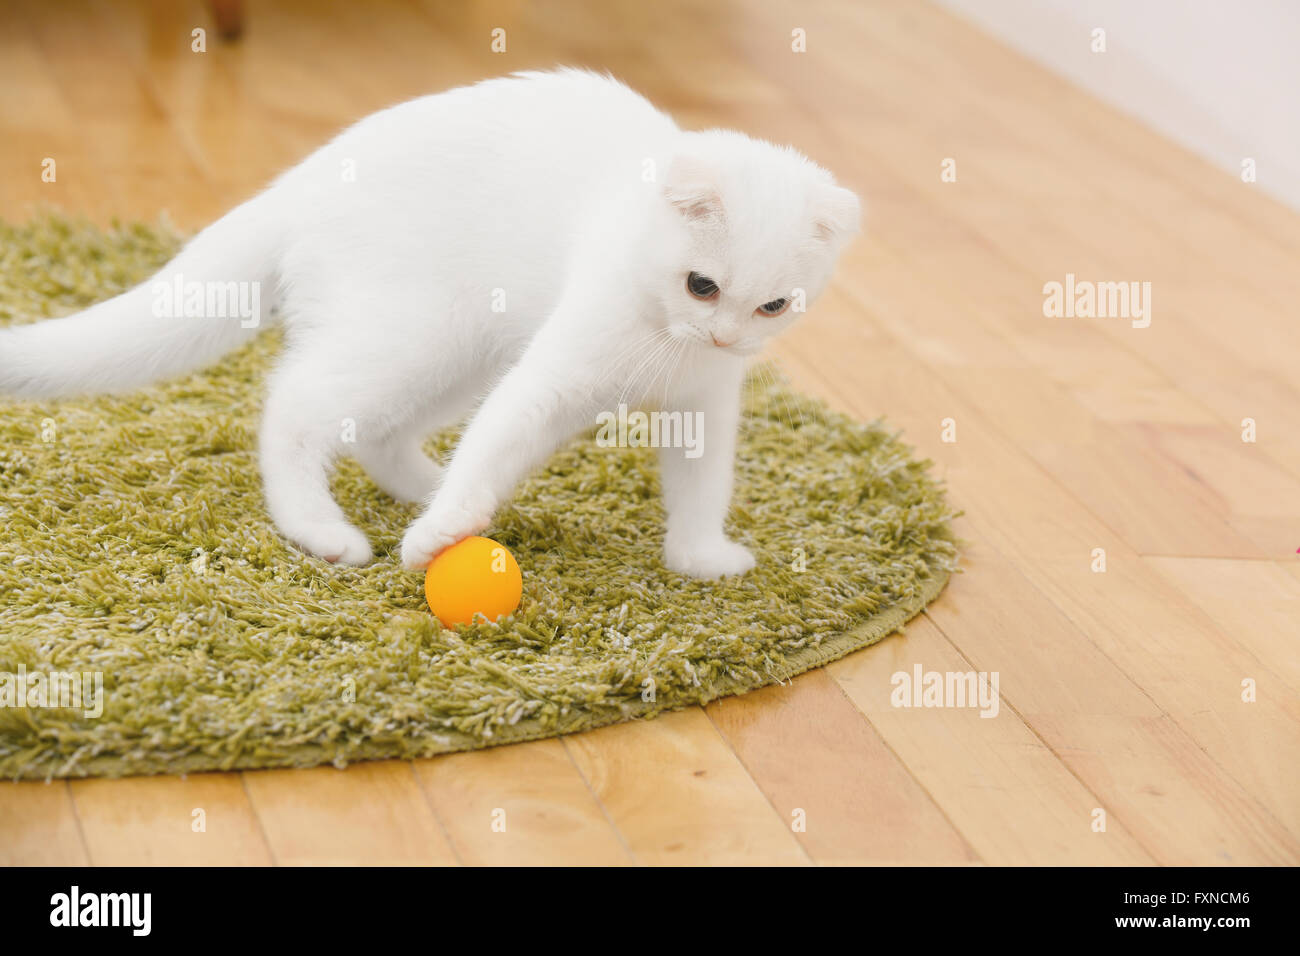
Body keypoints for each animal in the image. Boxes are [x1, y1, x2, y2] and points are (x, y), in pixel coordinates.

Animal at [2, 70, 863, 580]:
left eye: (773, 306)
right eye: (701, 285)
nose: (723, 337)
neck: (663, 340)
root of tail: (301, 181)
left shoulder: (704, 403)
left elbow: (701, 484)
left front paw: (698, 556)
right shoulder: (553, 376)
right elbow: (502, 435)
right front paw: (439, 536)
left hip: (463, 353)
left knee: (379, 435)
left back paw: (425, 487)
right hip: (416, 334)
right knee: (293, 410)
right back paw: (327, 530)